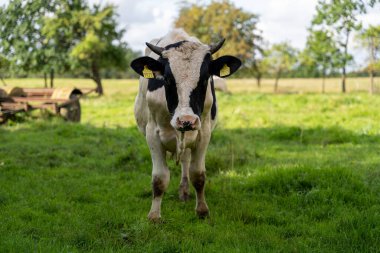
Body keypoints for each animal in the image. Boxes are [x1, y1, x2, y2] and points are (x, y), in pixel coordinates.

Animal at [131, 28, 240, 220]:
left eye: (205, 78)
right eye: (167, 79)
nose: (186, 120)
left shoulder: (203, 132)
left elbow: (198, 174)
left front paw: (202, 210)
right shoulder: (152, 134)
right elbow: (159, 178)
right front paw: (154, 215)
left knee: (186, 160)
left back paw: (184, 191)